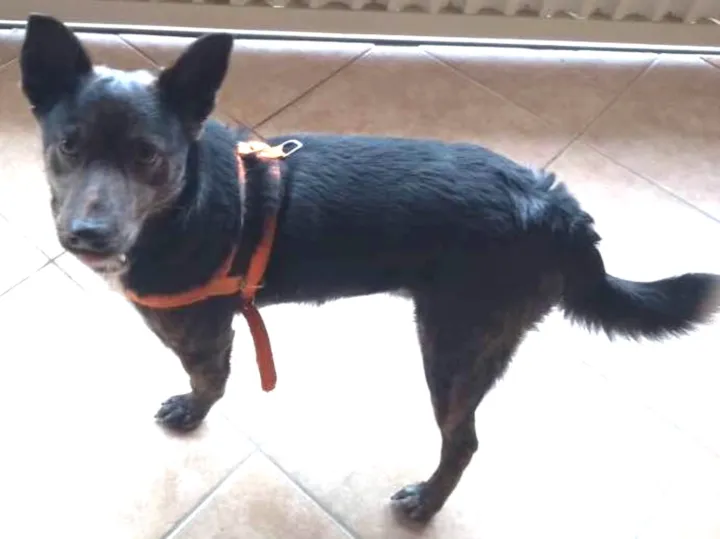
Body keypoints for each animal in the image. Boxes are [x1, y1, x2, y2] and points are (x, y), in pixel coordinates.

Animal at [19, 14, 720, 522]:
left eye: (148, 156)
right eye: (68, 147)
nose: (87, 235)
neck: (184, 198)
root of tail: (556, 206)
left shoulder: (201, 331)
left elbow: (210, 381)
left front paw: (193, 410)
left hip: (455, 346)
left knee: (463, 441)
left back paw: (426, 502)